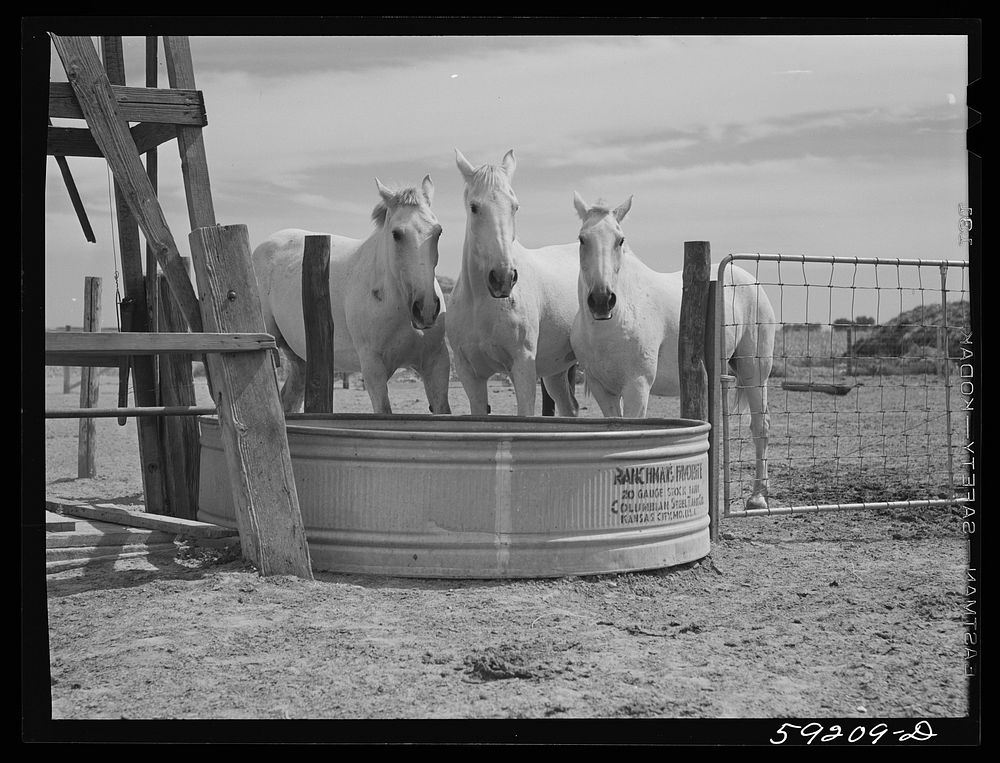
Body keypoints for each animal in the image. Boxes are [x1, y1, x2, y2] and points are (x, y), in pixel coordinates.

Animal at [252, 176, 451, 415]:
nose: (426, 309)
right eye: (396, 234)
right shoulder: (373, 367)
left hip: (300, 359)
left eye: (438, 231)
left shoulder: (436, 362)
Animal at [446, 148, 580, 417]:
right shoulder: (470, 374)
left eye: (515, 207)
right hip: (556, 373)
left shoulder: (523, 367)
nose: (503, 278)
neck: (481, 305)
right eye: (474, 207)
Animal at [569, 192, 776, 510]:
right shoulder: (602, 388)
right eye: (582, 239)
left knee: (760, 426)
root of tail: (749, 281)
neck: (617, 318)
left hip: (755, 371)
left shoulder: (637, 386)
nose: (602, 300)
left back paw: (757, 497)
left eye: (620, 239)